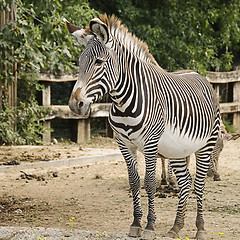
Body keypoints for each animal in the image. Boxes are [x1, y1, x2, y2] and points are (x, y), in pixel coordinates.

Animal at [63, 15, 219, 240]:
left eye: (98, 62)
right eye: (79, 63)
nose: (75, 105)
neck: (124, 102)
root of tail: (200, 76)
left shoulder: (151, 144)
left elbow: (150, 182)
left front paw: (150, 226)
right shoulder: (124, 144)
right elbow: (135, 181)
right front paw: (136, 224)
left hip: (206, 144)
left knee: (198, 183)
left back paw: (200, 228)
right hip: (178, 150)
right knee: (185, 182)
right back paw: (176, 227)